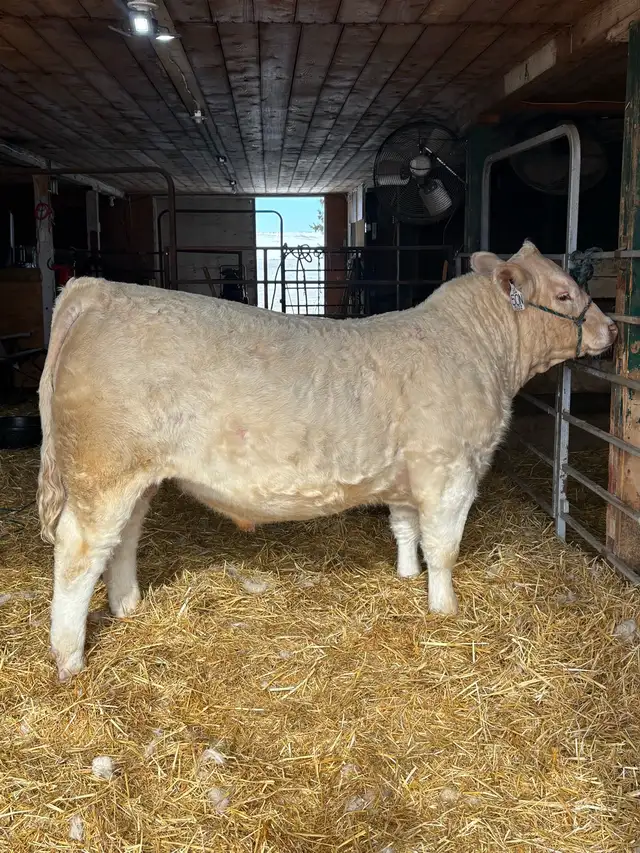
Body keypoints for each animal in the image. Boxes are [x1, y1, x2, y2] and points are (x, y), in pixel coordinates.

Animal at [37, 240, 617, 681]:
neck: (477, 351)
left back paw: (127, 606)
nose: (611, 328)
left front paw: (406, 575)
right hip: (101, 473)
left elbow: (405, 528)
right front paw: (444, 608)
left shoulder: (408, 475)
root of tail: (98, 289)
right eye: (564, 293)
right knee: (78, 553)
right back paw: (69, 659)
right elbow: (444, 549)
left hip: (138, 475)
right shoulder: (450, 470)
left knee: (124, 538)